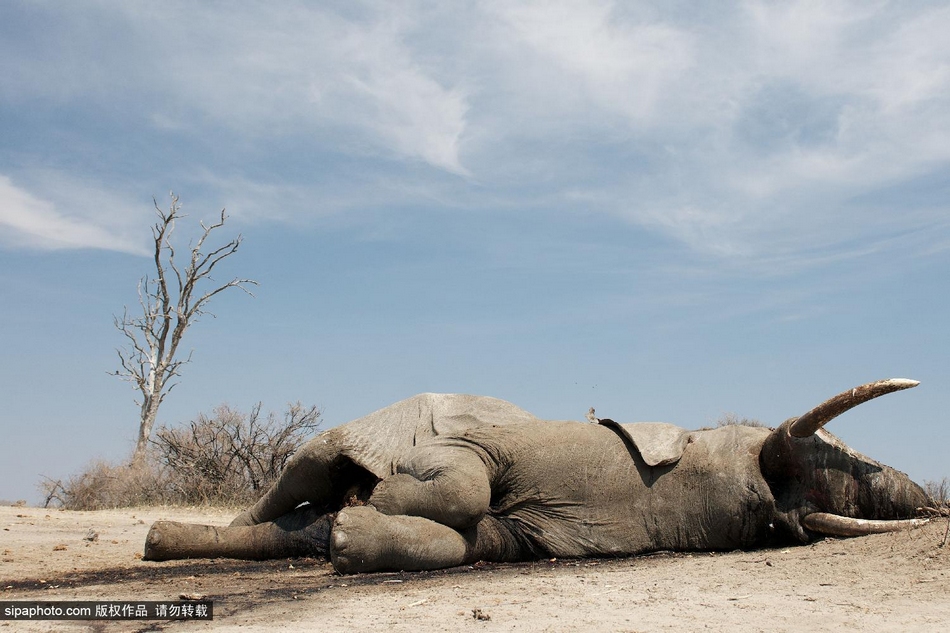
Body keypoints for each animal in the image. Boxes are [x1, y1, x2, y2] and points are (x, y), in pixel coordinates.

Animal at [145, 378, 932, 576]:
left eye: (766, 521)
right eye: (764, 449)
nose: (929, 502)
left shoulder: (541, 532)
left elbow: (478, 539)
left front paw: (355, 526)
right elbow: (468, 472)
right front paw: (381, 492)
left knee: (294, 528)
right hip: (361, 424)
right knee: (301, 472)